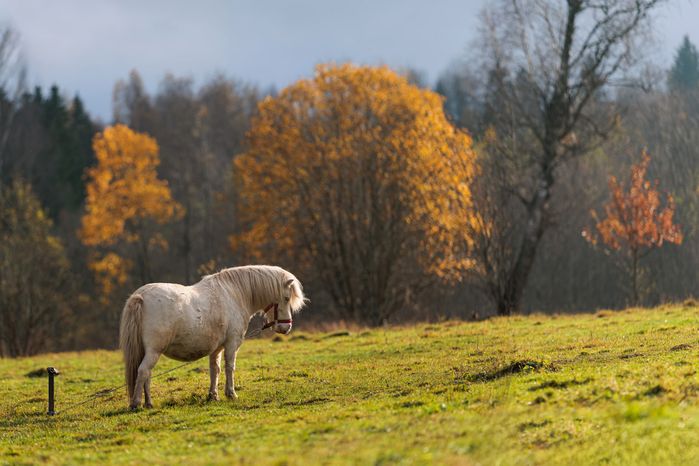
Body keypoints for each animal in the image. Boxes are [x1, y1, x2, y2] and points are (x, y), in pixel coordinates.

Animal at [119, 265, 306, 410]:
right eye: (286, 298)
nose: (286, 327)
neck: (233, 295)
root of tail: (141, 296)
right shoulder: (232, 343)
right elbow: (230, 367)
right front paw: (231, 394)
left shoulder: (216, 348)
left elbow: (214, 369)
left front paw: (213, 395)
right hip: (154, 351)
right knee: (143, 372)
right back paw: (136, 403)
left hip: (148, 352)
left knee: (147, 375)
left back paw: (149, 403)